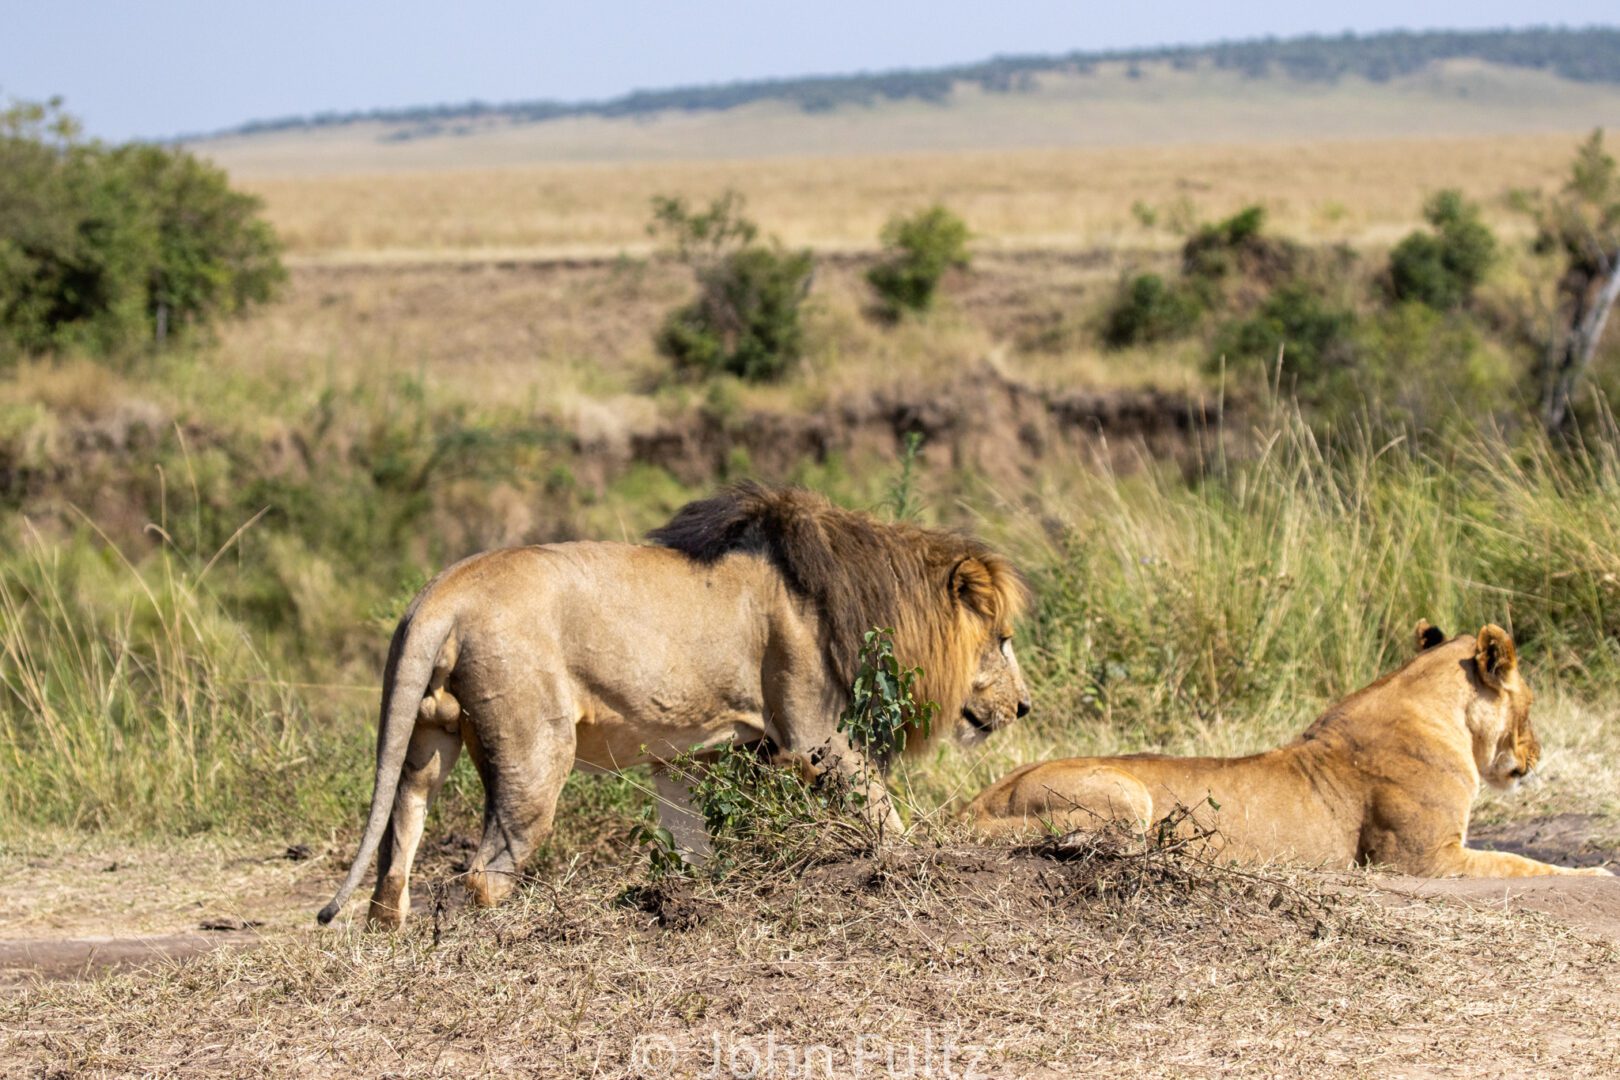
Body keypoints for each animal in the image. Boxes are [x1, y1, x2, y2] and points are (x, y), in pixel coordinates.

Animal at [317, 482, 1030, 932]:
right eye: (1001, 640)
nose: (1024, 707)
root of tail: (441, 591)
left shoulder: (692, 756)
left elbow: (692, 839)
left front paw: (694, 900)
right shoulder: (814, 732)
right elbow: (884, 815)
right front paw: (914, 861)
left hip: (426, 733)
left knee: (400, 832)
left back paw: (388, 929)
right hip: (535, 749)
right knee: (486, 870)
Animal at [965, 625, 1613, 880]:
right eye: (1530, 703)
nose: (1537, 755)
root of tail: (978, 800)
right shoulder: (1420, 860)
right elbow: (1526, 864)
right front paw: (1599, 870)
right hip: (1127, 798)